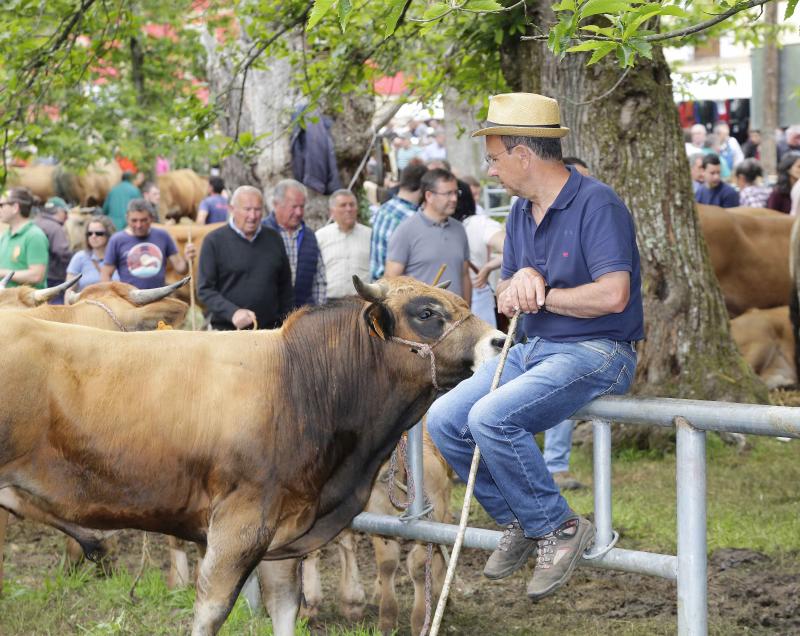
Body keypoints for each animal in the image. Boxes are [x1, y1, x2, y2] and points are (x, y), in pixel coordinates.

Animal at [0, 278, 504, 636]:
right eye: (427, 312)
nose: (500, 339)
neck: (298, 379)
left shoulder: (281, 535)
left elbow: (285, 608)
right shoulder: (238, 526)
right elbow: (210, 613)